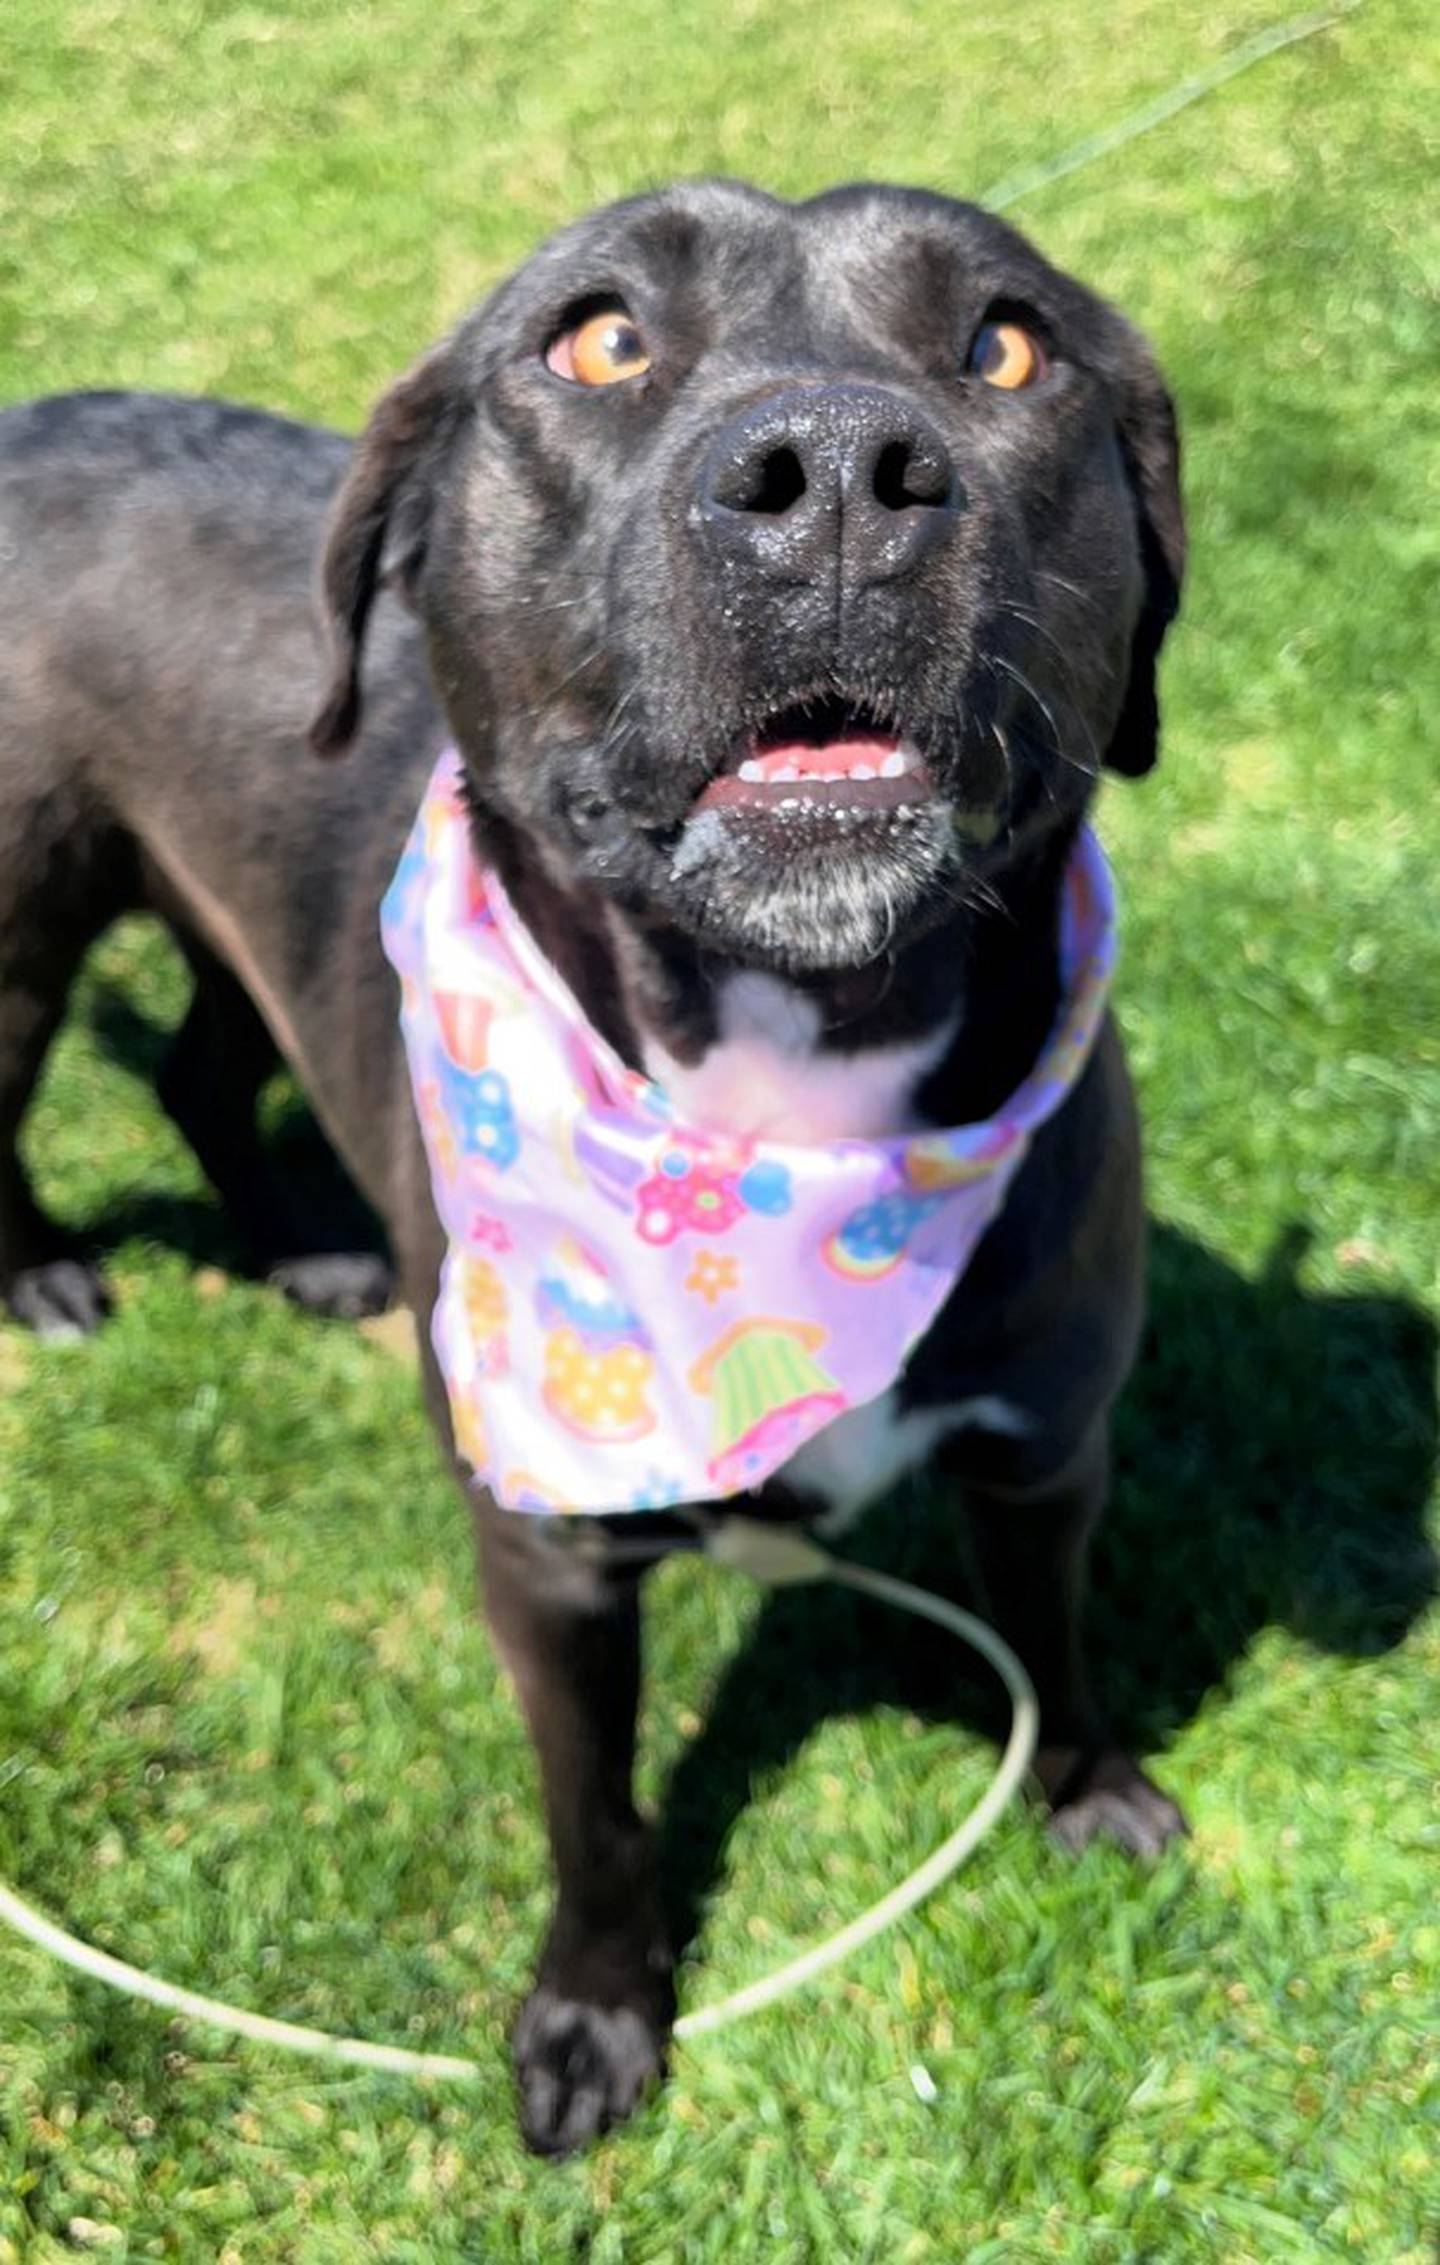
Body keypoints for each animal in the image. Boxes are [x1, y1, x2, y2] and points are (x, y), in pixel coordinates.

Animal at [2, 185, 1177, 2147]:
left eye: (1009, 343)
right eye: (602, 337)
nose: (835, 471)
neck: (779, 1115)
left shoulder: (1047, 1449)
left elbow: (1063, 1628)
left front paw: (1084, 1785)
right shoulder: (546, 1556)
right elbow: (598, 1813)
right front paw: (596, 2014)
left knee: (200, 1066)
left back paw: (309, 1254)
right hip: (18, 930)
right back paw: (41, 1272)